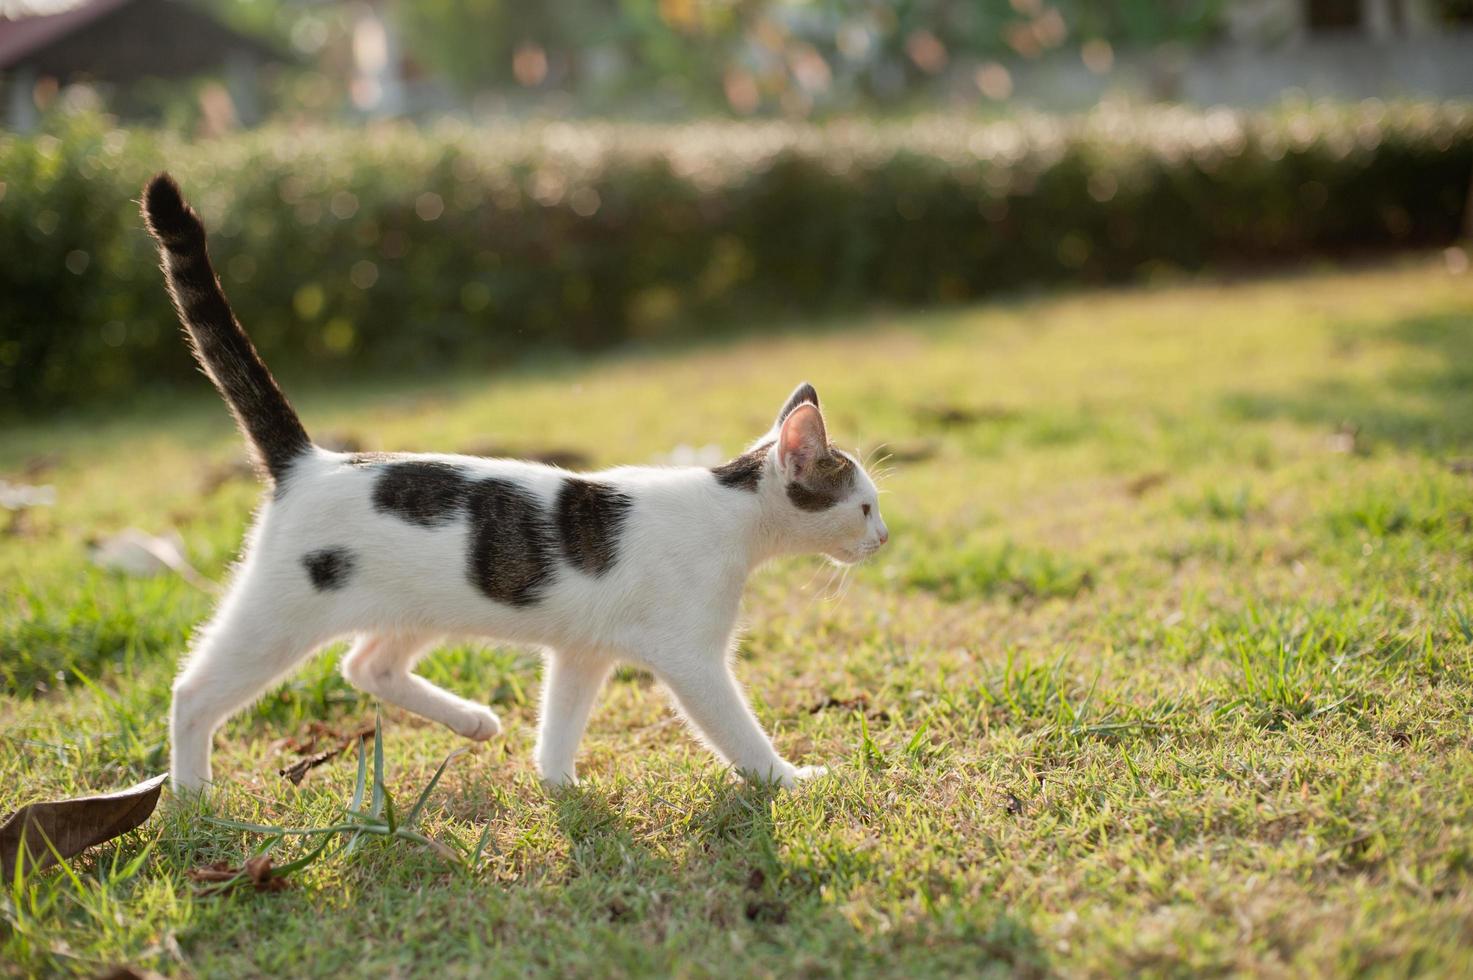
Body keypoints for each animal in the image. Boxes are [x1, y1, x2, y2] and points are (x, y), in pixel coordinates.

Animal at [143, 171, 889, 789]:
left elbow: (559, 723)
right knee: (192, 693)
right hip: (277, 616)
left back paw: (471, 720)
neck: (730, 513)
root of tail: (312, 461)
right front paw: (788, 779)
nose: (882, 537)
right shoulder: (690, 659)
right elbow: (735, 729)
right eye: (862, 507)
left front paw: (561, 789)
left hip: (417, 605)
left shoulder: (583, 652)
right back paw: (190, 794)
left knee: (367, 665)